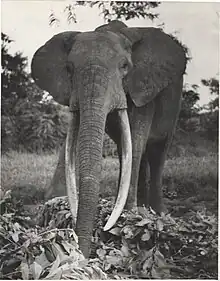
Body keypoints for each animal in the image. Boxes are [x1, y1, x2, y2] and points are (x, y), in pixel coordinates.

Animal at [31, 19, 186, 256]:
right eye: (69, 69)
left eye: (125, 66)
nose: (82, 254)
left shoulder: (143, 85)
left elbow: (136, 136)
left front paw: (129, 218)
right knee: (129, 153)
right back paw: (141, 209)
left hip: (174, 104)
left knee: (156, 153)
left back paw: (156, 213)